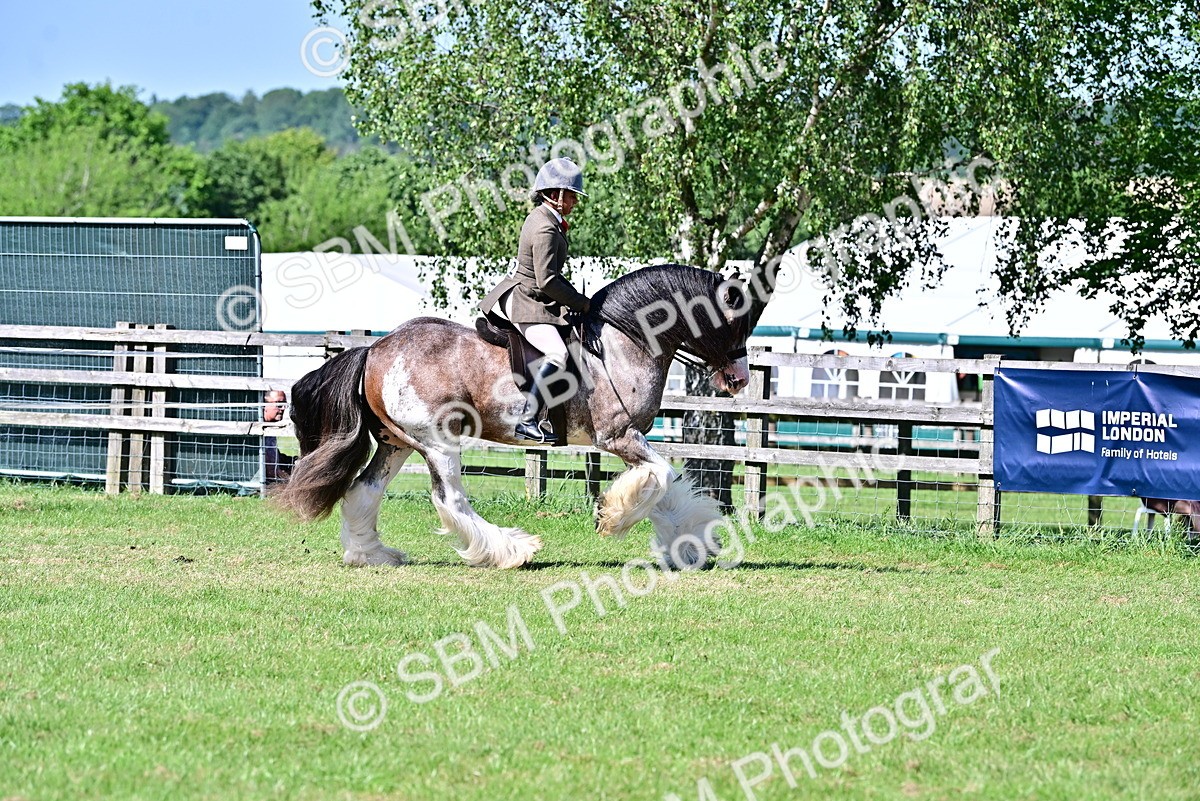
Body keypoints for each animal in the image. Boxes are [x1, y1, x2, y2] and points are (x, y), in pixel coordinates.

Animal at [272, 263, 753, 569]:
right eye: (732, 323)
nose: (740, 379)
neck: (624, 341)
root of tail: (375, 349)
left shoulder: (628, 439)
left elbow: (663, 484)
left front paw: (687, 547)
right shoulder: (617, 436)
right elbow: (660, 477)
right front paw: (613, 517)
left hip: (397, 443)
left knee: (364, 491)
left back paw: (371, 555)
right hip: (436, 442)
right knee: (450, 499)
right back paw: (511, 551)